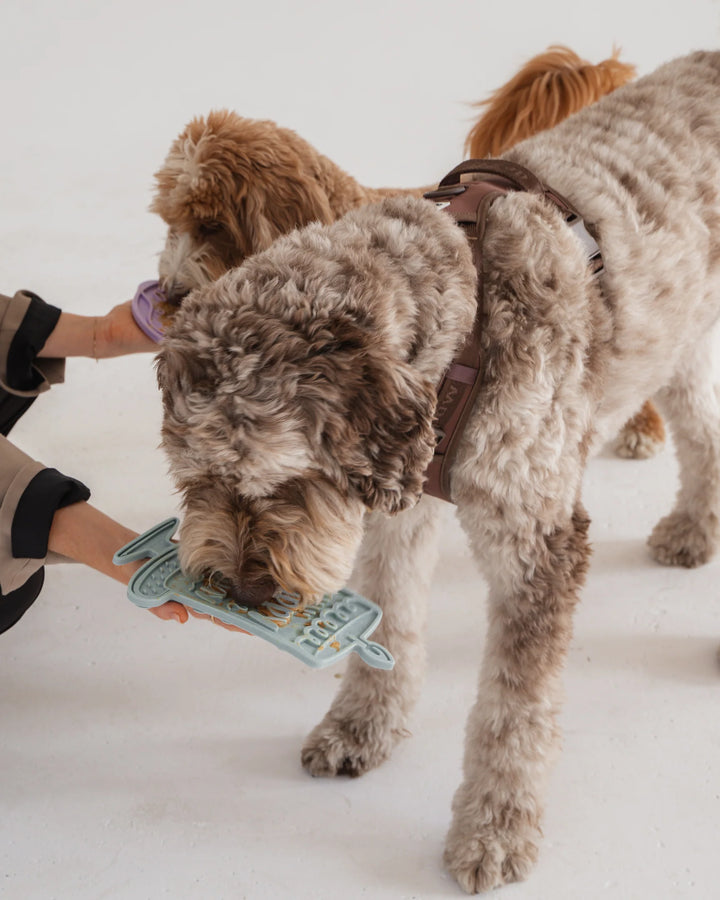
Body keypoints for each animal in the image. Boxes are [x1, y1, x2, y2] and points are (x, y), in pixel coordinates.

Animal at [156, 51, 720, 892]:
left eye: (287, 479)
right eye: (195, 481)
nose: (244, 592)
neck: (470, 318)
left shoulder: (538, 542)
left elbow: (514, 711)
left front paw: (494, 828)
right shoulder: (404, 504)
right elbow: (392, 617)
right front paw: (362, 726)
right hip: (675, 334)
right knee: (703, 428)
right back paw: (693, 529)